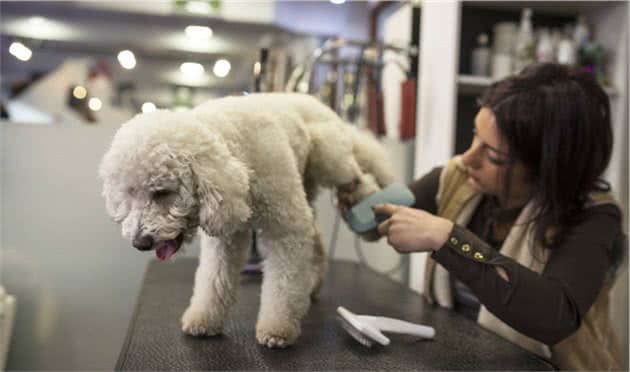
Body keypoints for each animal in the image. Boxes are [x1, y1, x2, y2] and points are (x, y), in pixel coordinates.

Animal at [99, 93, 396, 348]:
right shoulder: (225, 238)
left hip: (329, 158)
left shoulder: (286, 227)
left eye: (162, 192)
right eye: (129, 194)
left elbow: (283, 282)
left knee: (360, 179)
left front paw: (277, 328)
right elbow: (213, 279)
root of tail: (314, 101)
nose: (140, 242)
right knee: (316, 238)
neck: (237, 150)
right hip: (306, 186)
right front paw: (203, 319)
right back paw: (312, 285)